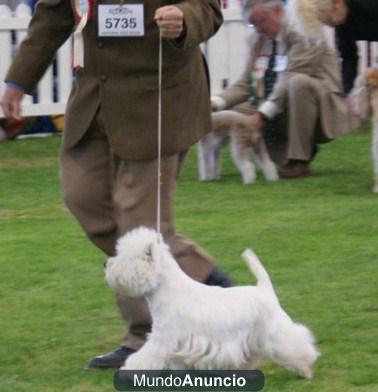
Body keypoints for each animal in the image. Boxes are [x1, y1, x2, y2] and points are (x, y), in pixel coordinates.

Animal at [105, 228, 318, 378]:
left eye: (123, 257)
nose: (106, 264)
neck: (165, 290)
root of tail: (264, 288)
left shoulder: (163, 338)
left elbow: (144, 357)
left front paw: (127, 372)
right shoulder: (176, 343)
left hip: (274, 331)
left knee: (296, 344)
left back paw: (306, 369)